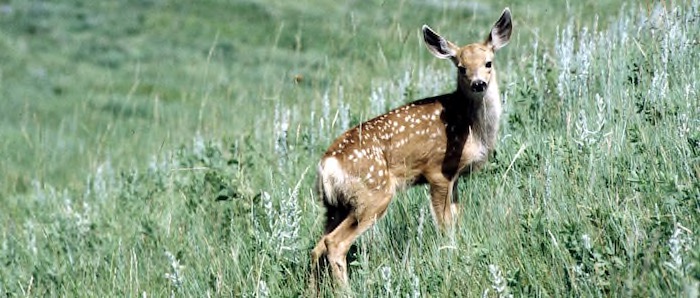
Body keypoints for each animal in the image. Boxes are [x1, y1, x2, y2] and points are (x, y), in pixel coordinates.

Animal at [308, 7, 512, 286]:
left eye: (488, 63)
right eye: (461, 67)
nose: (479, 83)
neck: (473, 128)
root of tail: (327, 164)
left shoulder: (455, 178)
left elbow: (457, 219)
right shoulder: (438, 172)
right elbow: (445, 226)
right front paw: (451, 256)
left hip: (335, 206)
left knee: (316, 247)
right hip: (373, 194)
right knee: (334, 244)